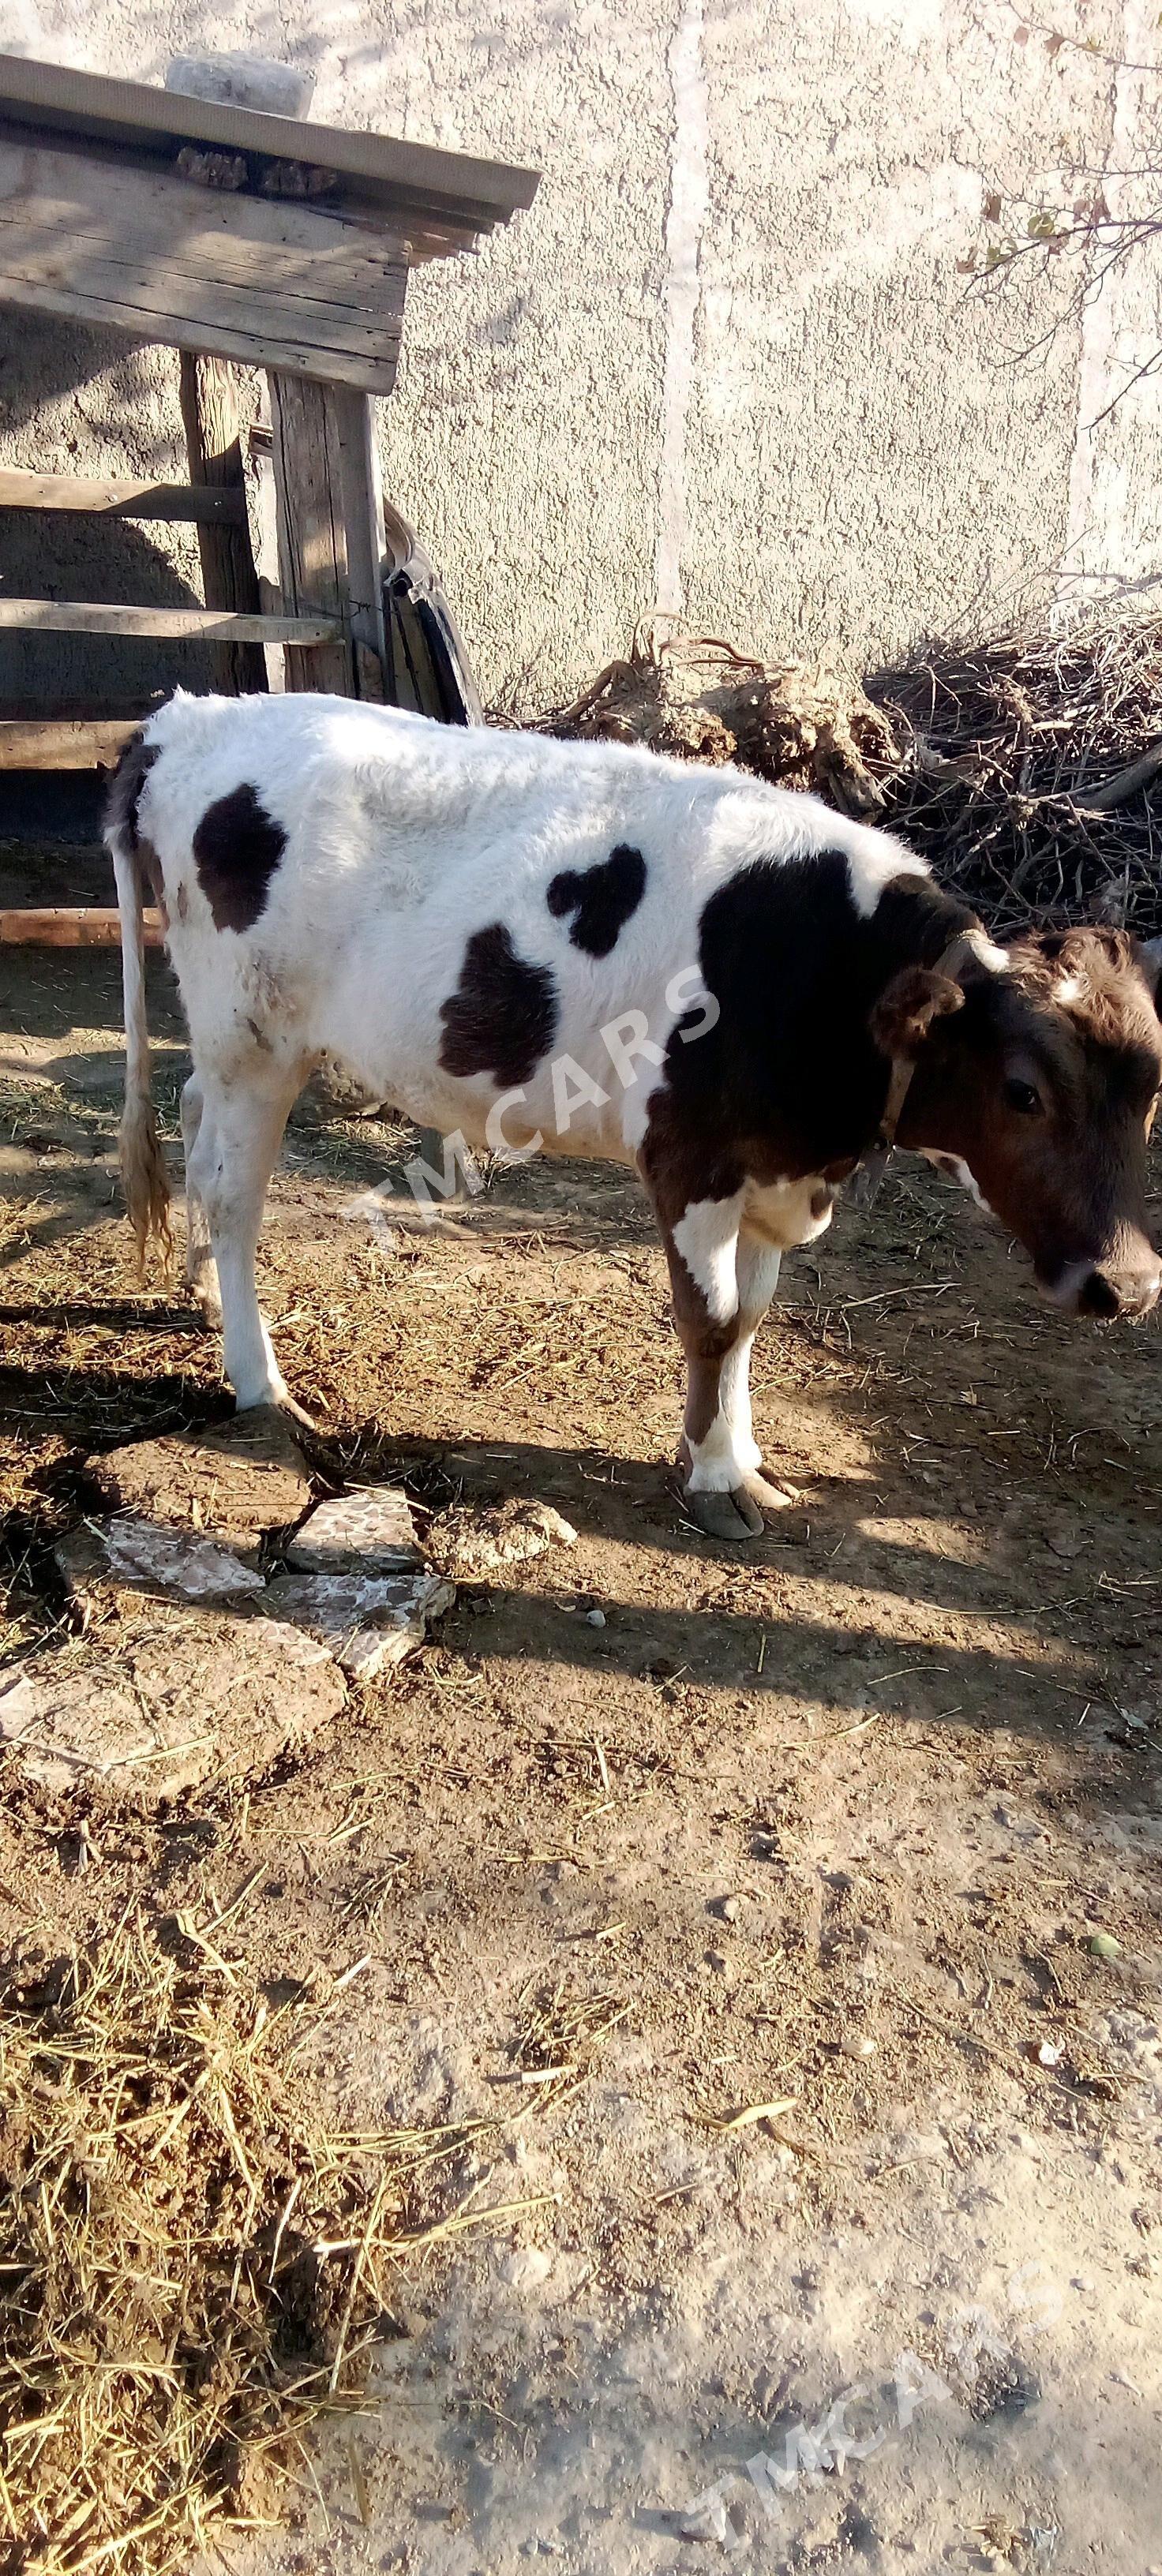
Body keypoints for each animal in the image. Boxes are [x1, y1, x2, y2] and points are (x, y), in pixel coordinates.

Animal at [111, 685, 1162, 1535]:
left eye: (1151, 1095)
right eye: (1022, 1092)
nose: (1130, 1286)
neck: (821, 974)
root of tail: (187, 718)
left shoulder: (773, 1171)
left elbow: (751, 1320)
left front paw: (741, 1456)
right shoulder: (691, 1161)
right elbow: (712, 1320)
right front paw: (714, 1480)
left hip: (229, 1047)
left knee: (194, 1124)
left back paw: (203, 1294)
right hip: (255, 1038)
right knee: (235, 1199)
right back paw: (260, 1381)